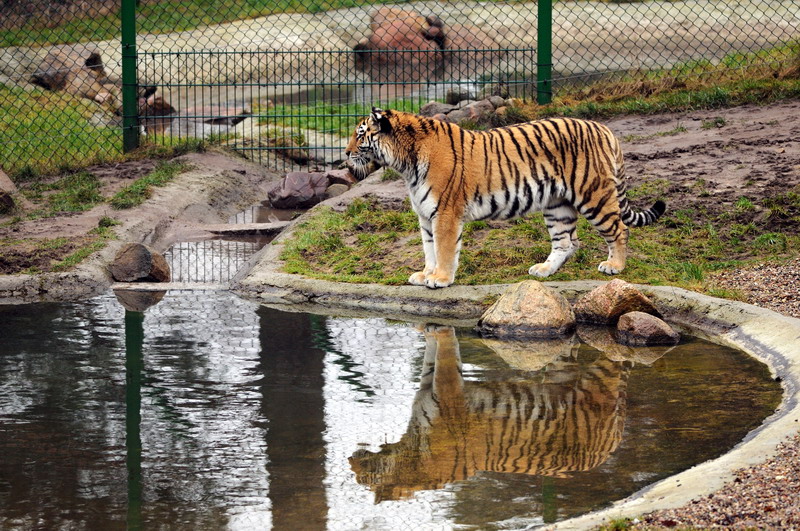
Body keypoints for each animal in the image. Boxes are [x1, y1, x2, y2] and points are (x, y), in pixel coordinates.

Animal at [345, 108, 666, 288]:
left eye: (360, 135)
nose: (345, 154)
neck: (405, 164)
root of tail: (604, 128)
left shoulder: (445, 213)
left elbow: (445, 250)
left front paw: (441, 279)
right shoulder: (425, 216)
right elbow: (429, 250)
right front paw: (426, 274)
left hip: (593, 194)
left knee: (619, 230)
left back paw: (615, 266)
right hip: (556, 204)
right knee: (567, 242)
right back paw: (543, 271)